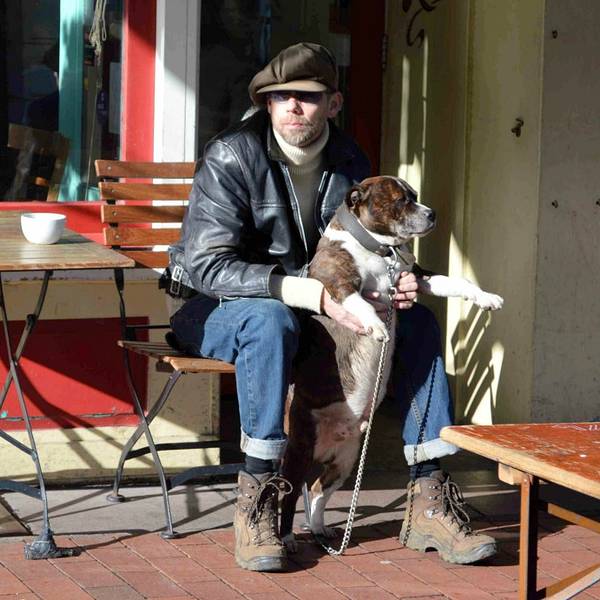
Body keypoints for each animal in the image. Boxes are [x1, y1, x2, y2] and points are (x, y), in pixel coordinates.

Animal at [280, 175, 503, 551]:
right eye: (400, 200)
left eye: (415, 195)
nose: (432, 214)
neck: (379, 251)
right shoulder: (337, 281)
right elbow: (359, 302)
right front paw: (376, 326)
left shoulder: (417, 276)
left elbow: (455, 281)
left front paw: (485, 297)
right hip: (299, 449)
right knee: (290, 493)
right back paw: (284, 538)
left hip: (344, 461)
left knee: (316, 491)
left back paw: (320, 529)